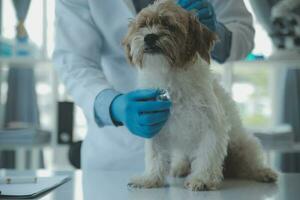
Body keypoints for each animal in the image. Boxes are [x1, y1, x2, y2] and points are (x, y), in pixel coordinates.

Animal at [122, 0, 276, 191]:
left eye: (169, 25)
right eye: (143, 25)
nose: (149, 37)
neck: (170, 75)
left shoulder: (211, 126)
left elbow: (207, 155)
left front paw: (202, 179)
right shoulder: (154, 124)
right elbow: (154, 155)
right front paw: (150, 179)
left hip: (243, 145)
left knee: (250, 164)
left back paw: (263, 172)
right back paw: (180, 168)